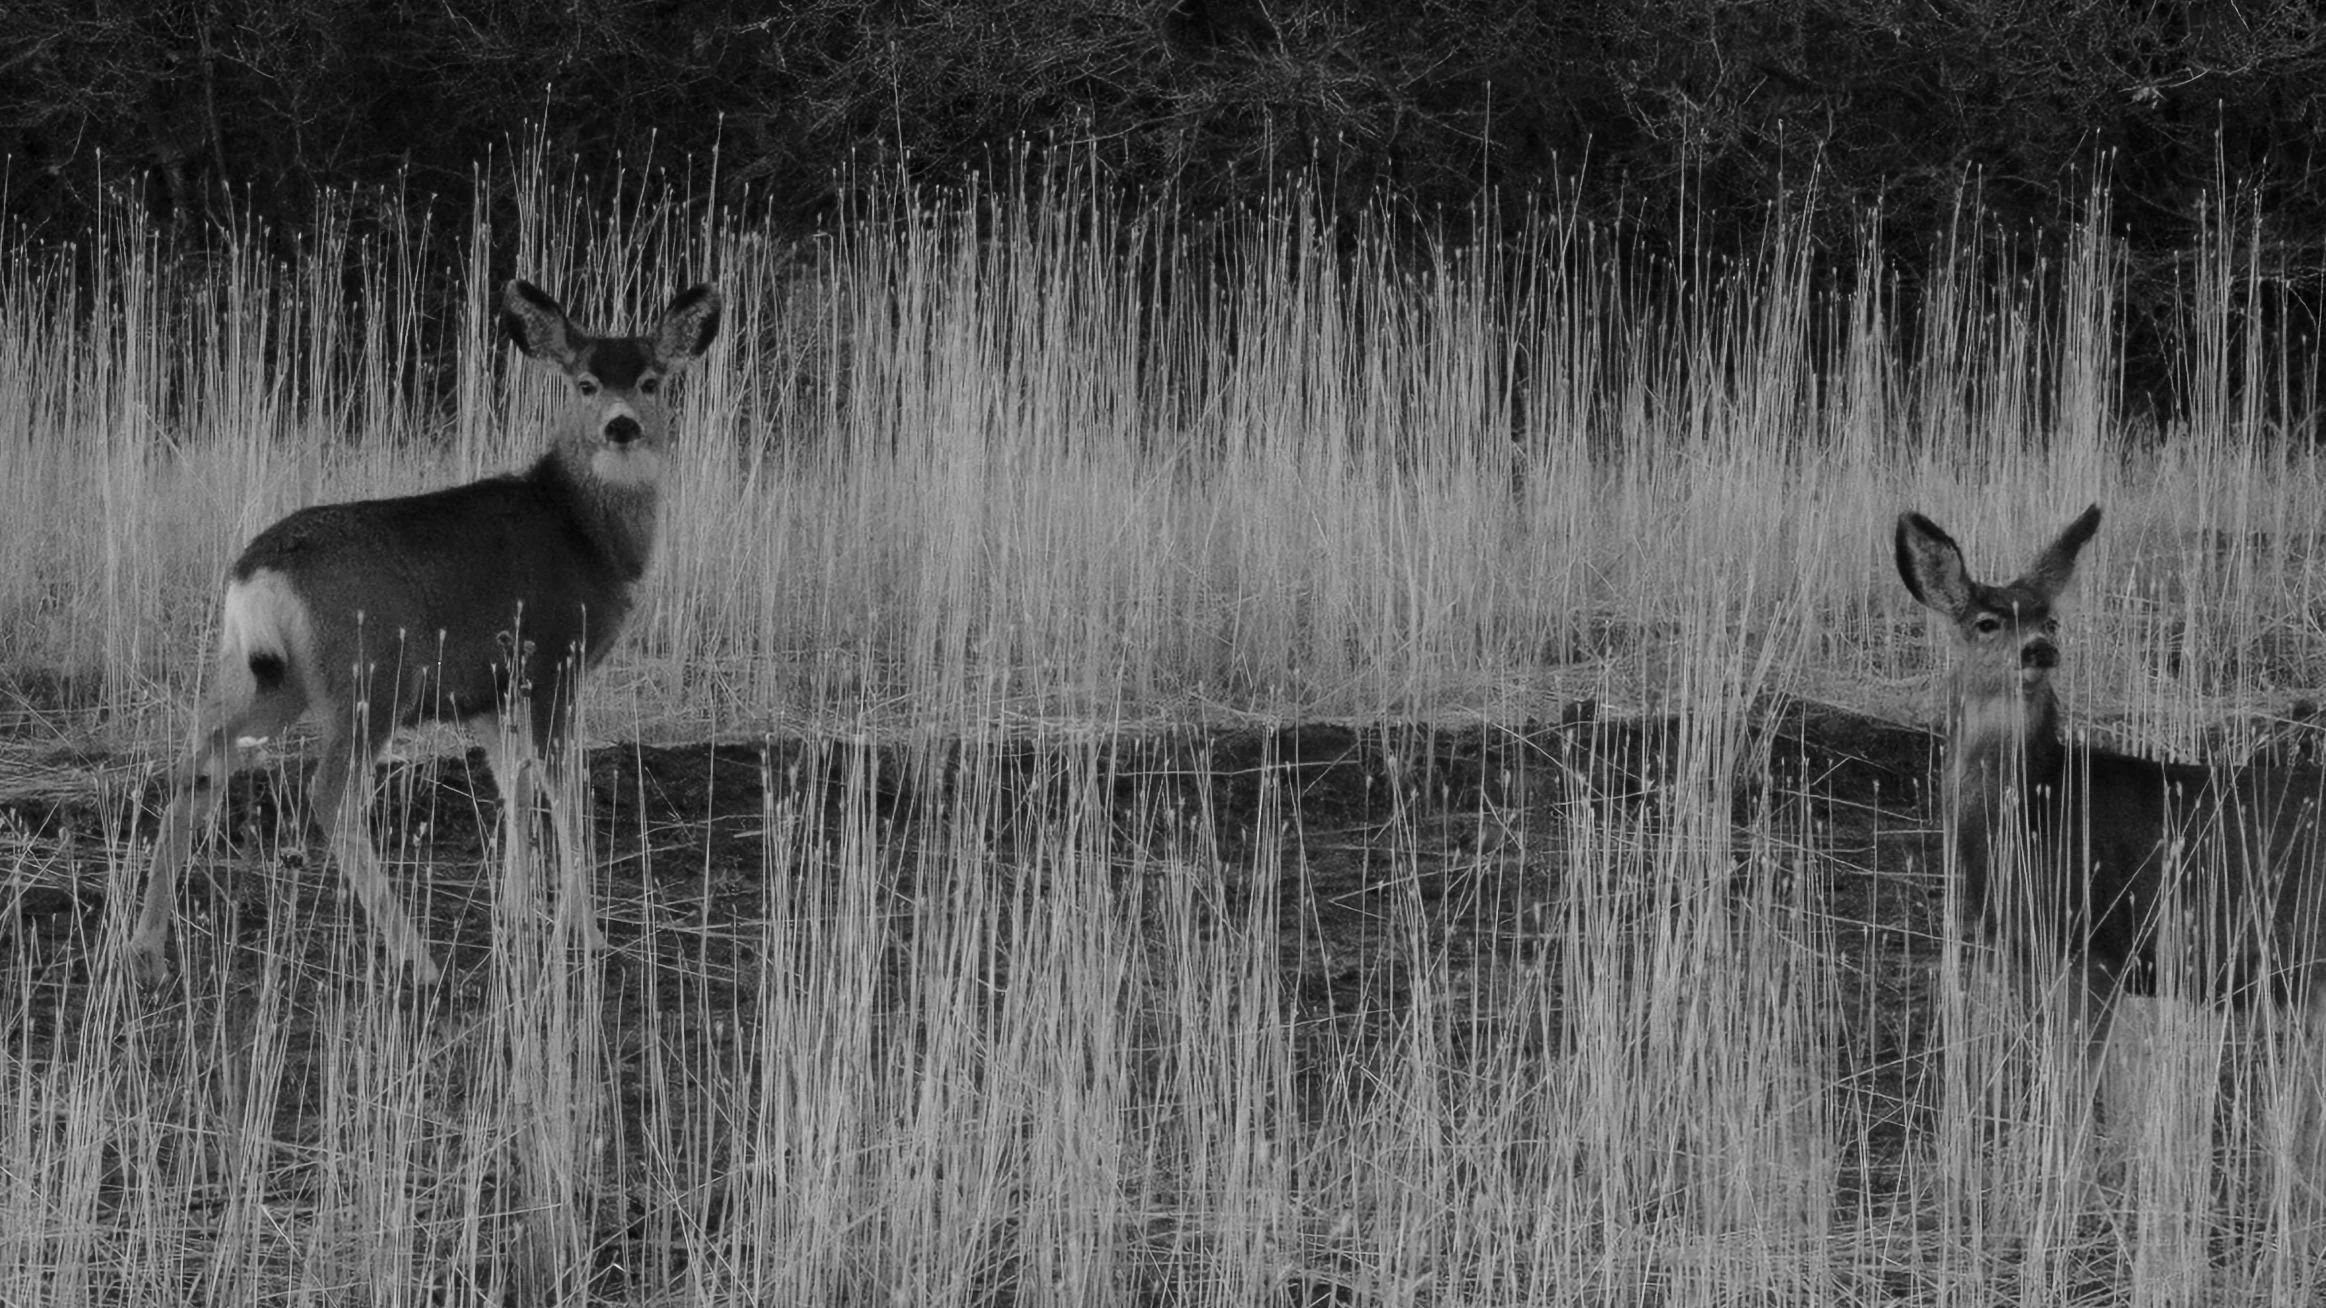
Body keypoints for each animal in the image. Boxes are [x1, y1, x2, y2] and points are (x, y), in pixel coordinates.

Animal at [131, 279, 723, 986]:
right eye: (584, 383)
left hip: (268, 678)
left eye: (651, 381)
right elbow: (564, 792)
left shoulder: (490, 688)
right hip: (371, 673)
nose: (622, 426)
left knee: (197, 767)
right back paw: (418, 957)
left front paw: (516, 918)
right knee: (328, 795)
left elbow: (514, 784)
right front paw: (584, 933)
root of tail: (257, 572)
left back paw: (146, 949)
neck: (586, 536)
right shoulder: (554, 660)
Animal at [1895, 504, 2326, 1171]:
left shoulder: (2093, 948)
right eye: (1987, 622)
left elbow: (2076, 1094)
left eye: (2049, 618)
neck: (2035, 813)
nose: (2040, 650)